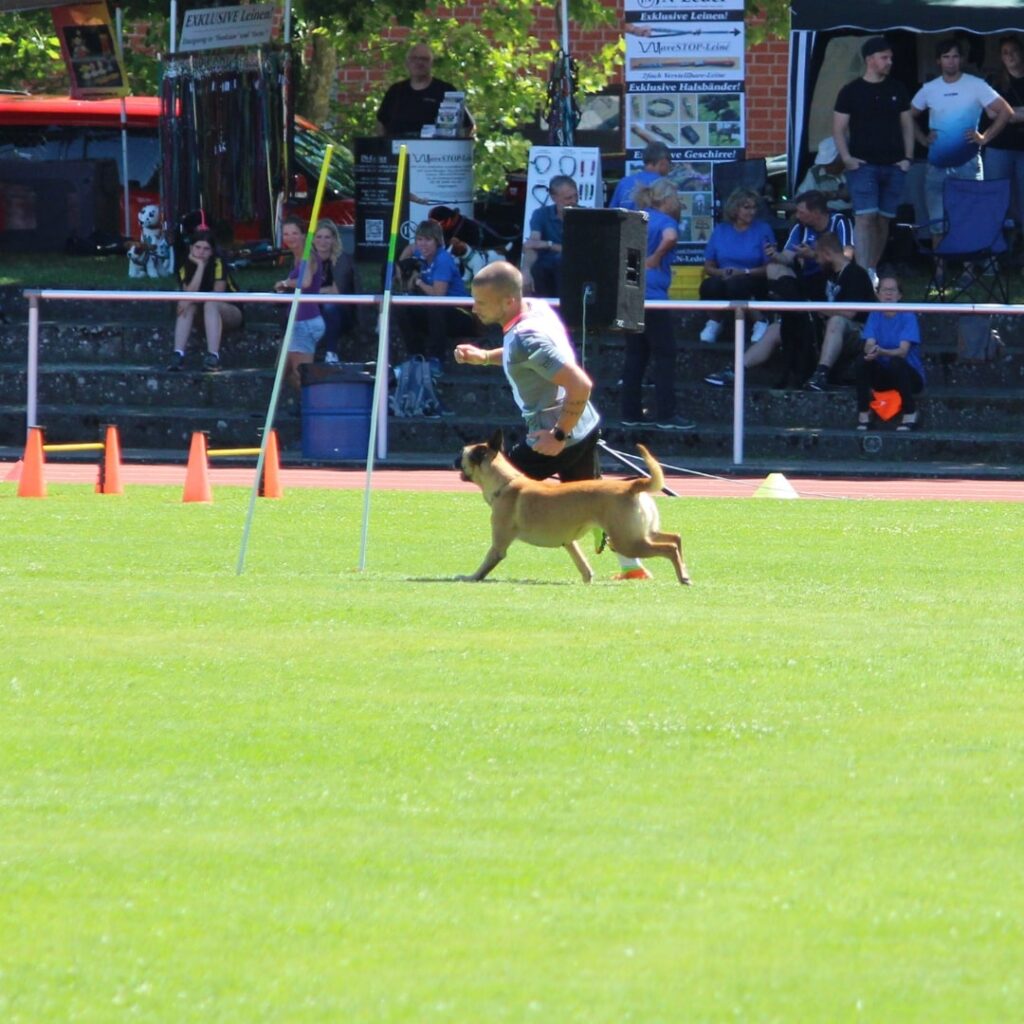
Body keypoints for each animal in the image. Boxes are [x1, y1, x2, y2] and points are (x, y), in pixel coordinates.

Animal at [454, 425, 688, 585]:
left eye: (462, 454)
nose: (455, 460)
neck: (505, 482)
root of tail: (633, 486)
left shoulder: (499, 545)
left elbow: (487, 562)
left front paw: (470, 577)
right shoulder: (569, 542)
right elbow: (581, 561)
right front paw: (588, 577)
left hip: (627, 541)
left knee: (668, 548)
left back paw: (682, 577)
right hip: (642, 533)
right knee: (675, 538)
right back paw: (684, 570)